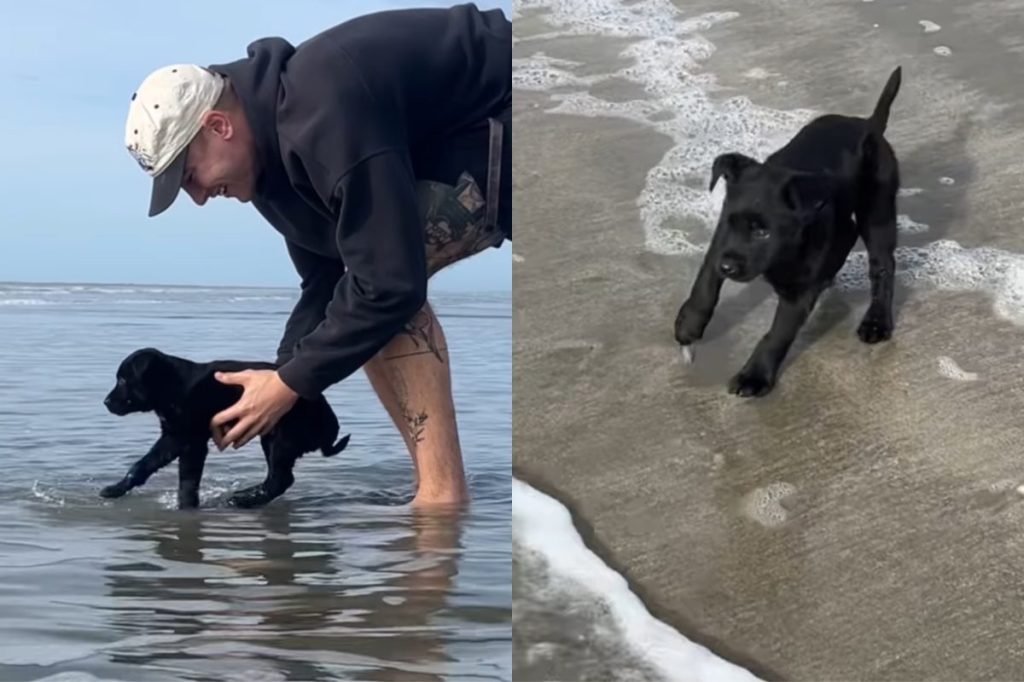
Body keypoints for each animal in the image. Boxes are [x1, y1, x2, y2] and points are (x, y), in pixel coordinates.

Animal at [100, 348, 348, 507]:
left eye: (123, 380)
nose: (106, 402)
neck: (173, 387)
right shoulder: (174, 437)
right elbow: (145, 464)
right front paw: (116, 489)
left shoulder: (189, 440)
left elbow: (186, 480)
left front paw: (187, 508)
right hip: (272, 436)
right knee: (278, 478)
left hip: (282, 437)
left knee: (280, 480)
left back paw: (243, 501)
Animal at [675, 66, 901, 395]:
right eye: (731, 222)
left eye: (763, 233)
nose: (728, 268)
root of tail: (870, 125)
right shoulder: (721, 242)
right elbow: (705, 282)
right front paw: (689, 324)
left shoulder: (800, 290)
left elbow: (778, 333)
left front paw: (754, 376)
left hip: (878, 210)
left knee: (883, 265)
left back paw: (876, 322)